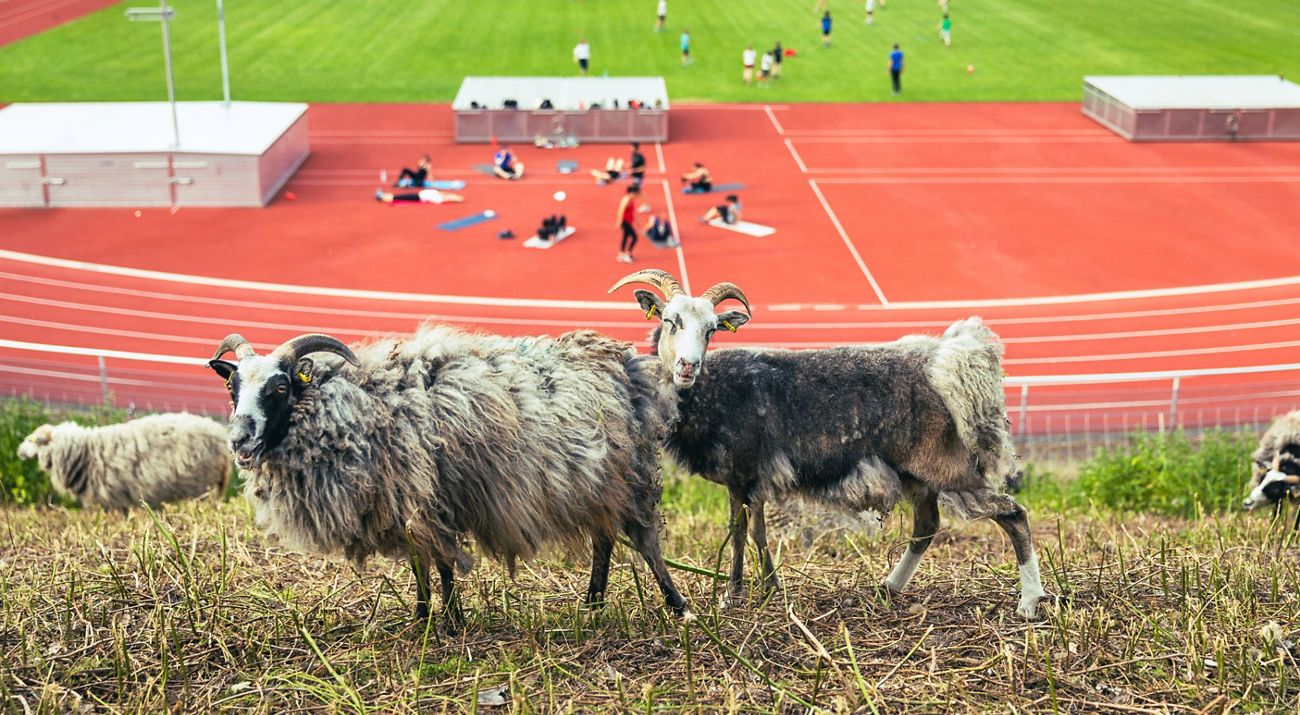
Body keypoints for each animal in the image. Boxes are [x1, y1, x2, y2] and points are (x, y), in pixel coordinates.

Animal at [16, 413, 231, 510]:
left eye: (31, 440)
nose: (19, 452)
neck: (85, 451)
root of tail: (221, 435)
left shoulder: (117, 498)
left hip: (202, 486)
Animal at [206, 328, 686, 623]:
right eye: (232, 388)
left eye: (280, 387)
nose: (239, 439)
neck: (361, 406)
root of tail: (622, 363)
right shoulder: (403, 501)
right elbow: (420, 565)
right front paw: (421, 617)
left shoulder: (429, 497)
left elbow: (441, 563)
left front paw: (453, 621)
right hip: (595, 482)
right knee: (604, 538)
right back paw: (593, 603)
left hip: (625, 473)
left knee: (643, 540)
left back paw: (676, 604)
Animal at [610, 269, 1046, 619]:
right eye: (670, 321)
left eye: (712, 329)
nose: (688, 366)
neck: (714, 391)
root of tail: (946, 363)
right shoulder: (746, 480)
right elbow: (747, 532)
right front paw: (753, 590)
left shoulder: (746, 474)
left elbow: (746, 533)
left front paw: (749, 592)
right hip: (916, 473)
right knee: (926, 526)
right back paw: (888, 587)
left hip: (948, 467)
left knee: (1014, 514)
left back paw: (1029, 603)